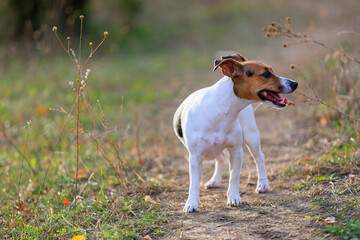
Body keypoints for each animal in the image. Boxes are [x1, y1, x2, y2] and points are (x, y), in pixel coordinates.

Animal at [173, 53, 296, 213]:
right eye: (266, 74)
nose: (295, 84)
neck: (220, 111)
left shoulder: (237, 151)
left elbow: (234, 177)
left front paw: (233, 197)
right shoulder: (195, 157)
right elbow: (194, 182)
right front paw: (191, 203)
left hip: (251, 136)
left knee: (259, 158)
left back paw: (262, 184)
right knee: (220, 158)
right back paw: (215, 180)